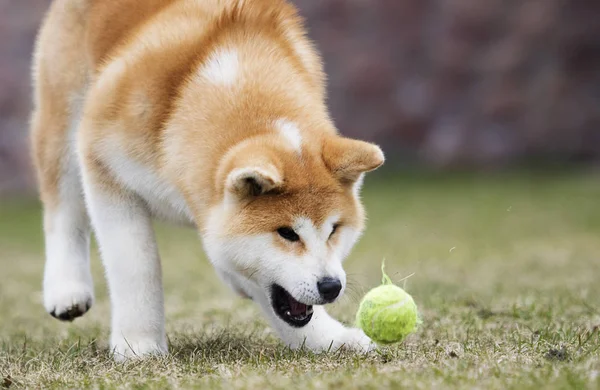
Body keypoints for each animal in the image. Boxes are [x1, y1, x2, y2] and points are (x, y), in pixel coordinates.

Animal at [30, 0, 384, 360]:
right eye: (286, 233)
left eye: (334, 229)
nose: (331, 286)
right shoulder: (105, 166)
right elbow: (138, 266)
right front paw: (139, 345)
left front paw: (330, 339)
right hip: (65, 123)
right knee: (63, 210)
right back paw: (66, 289)